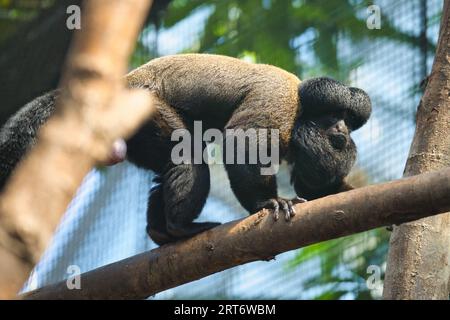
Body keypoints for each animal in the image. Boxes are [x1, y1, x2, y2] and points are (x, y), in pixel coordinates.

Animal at [0, 53, 372, 245]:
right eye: (336, 118)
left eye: (349, 122)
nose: (343, 129)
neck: (302, 108)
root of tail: (121, 86)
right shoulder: (279, 101)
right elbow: (240, 142)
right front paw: (267, 203)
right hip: (144, 106)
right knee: (188, 153)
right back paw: (180, 227)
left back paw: (160, 231)